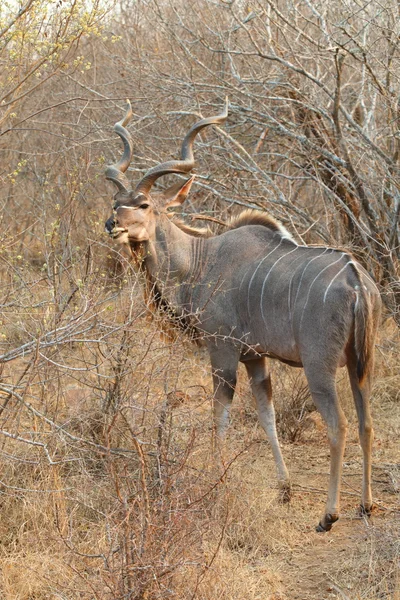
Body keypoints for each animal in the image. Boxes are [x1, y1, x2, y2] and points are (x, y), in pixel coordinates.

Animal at [105, 101, 382, 532]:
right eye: (116, 203)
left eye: (144, 205)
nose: (112, 225)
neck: (199, 261)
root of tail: (356, 278)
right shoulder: (256, 358)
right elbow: (267, 415)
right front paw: (284, 488)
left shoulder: (223, 352)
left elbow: (220, 416)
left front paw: (217, 481)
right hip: (358, 363)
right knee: (367, 423)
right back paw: (365, 505)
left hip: (320, 366)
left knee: (339, 425)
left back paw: (329, 514)